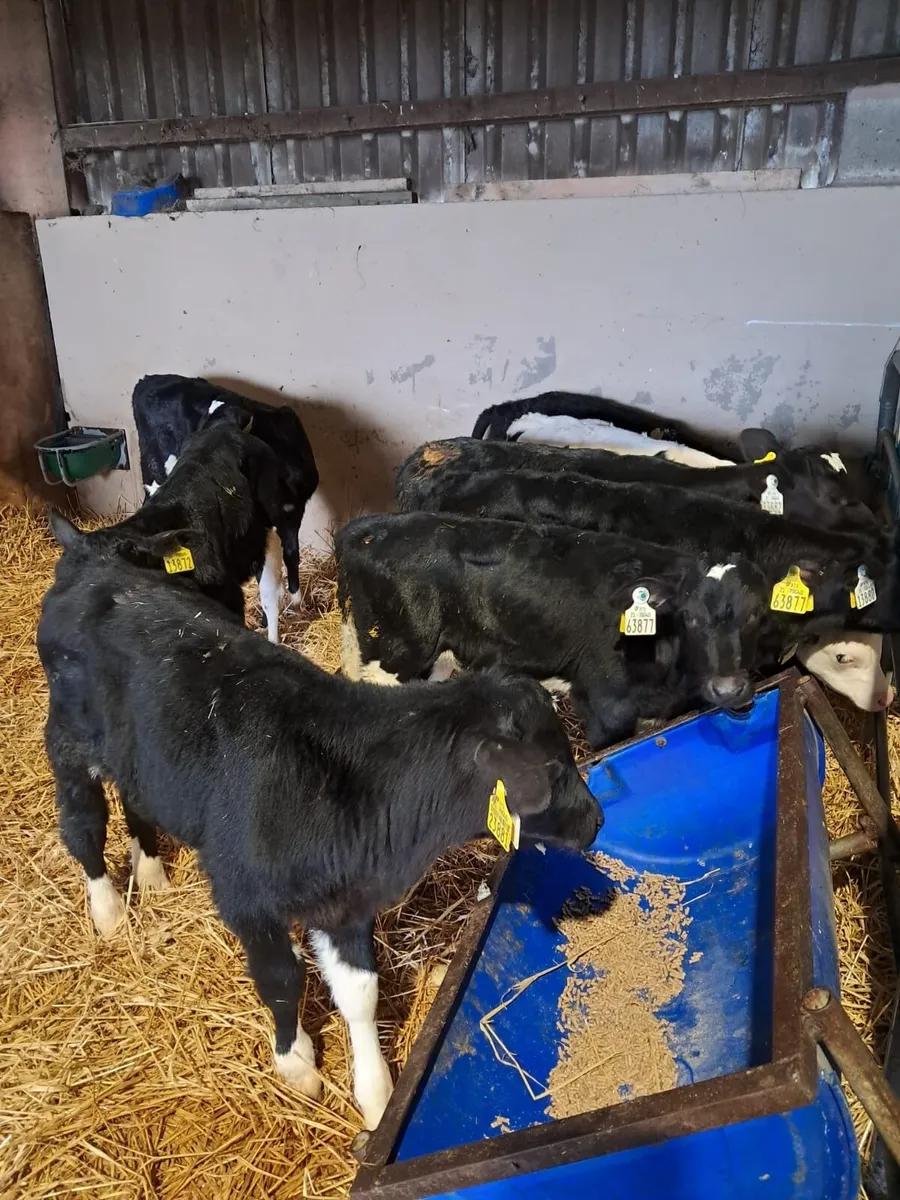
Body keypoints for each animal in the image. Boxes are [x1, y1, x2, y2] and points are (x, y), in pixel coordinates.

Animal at [38, 541, 601, 1131]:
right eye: (550, 769)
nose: (597, 820)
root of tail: (89, 561)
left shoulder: (344, 900)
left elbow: (360, 992)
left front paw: (375, 1093)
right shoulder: (244, 896)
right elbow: (281, 980)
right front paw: (297, 1062)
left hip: (139, 758)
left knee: (136, 799)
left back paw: (149, 871)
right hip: (68, 744)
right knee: (82, 824)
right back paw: (107, 909)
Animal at [132, 374, 319, 639]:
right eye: (201, 427)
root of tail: (148, 379)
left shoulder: (293, 512)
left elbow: (292, 555)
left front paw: (297, 603)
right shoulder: (266, 525)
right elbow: (269, 589)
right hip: (155, 473)